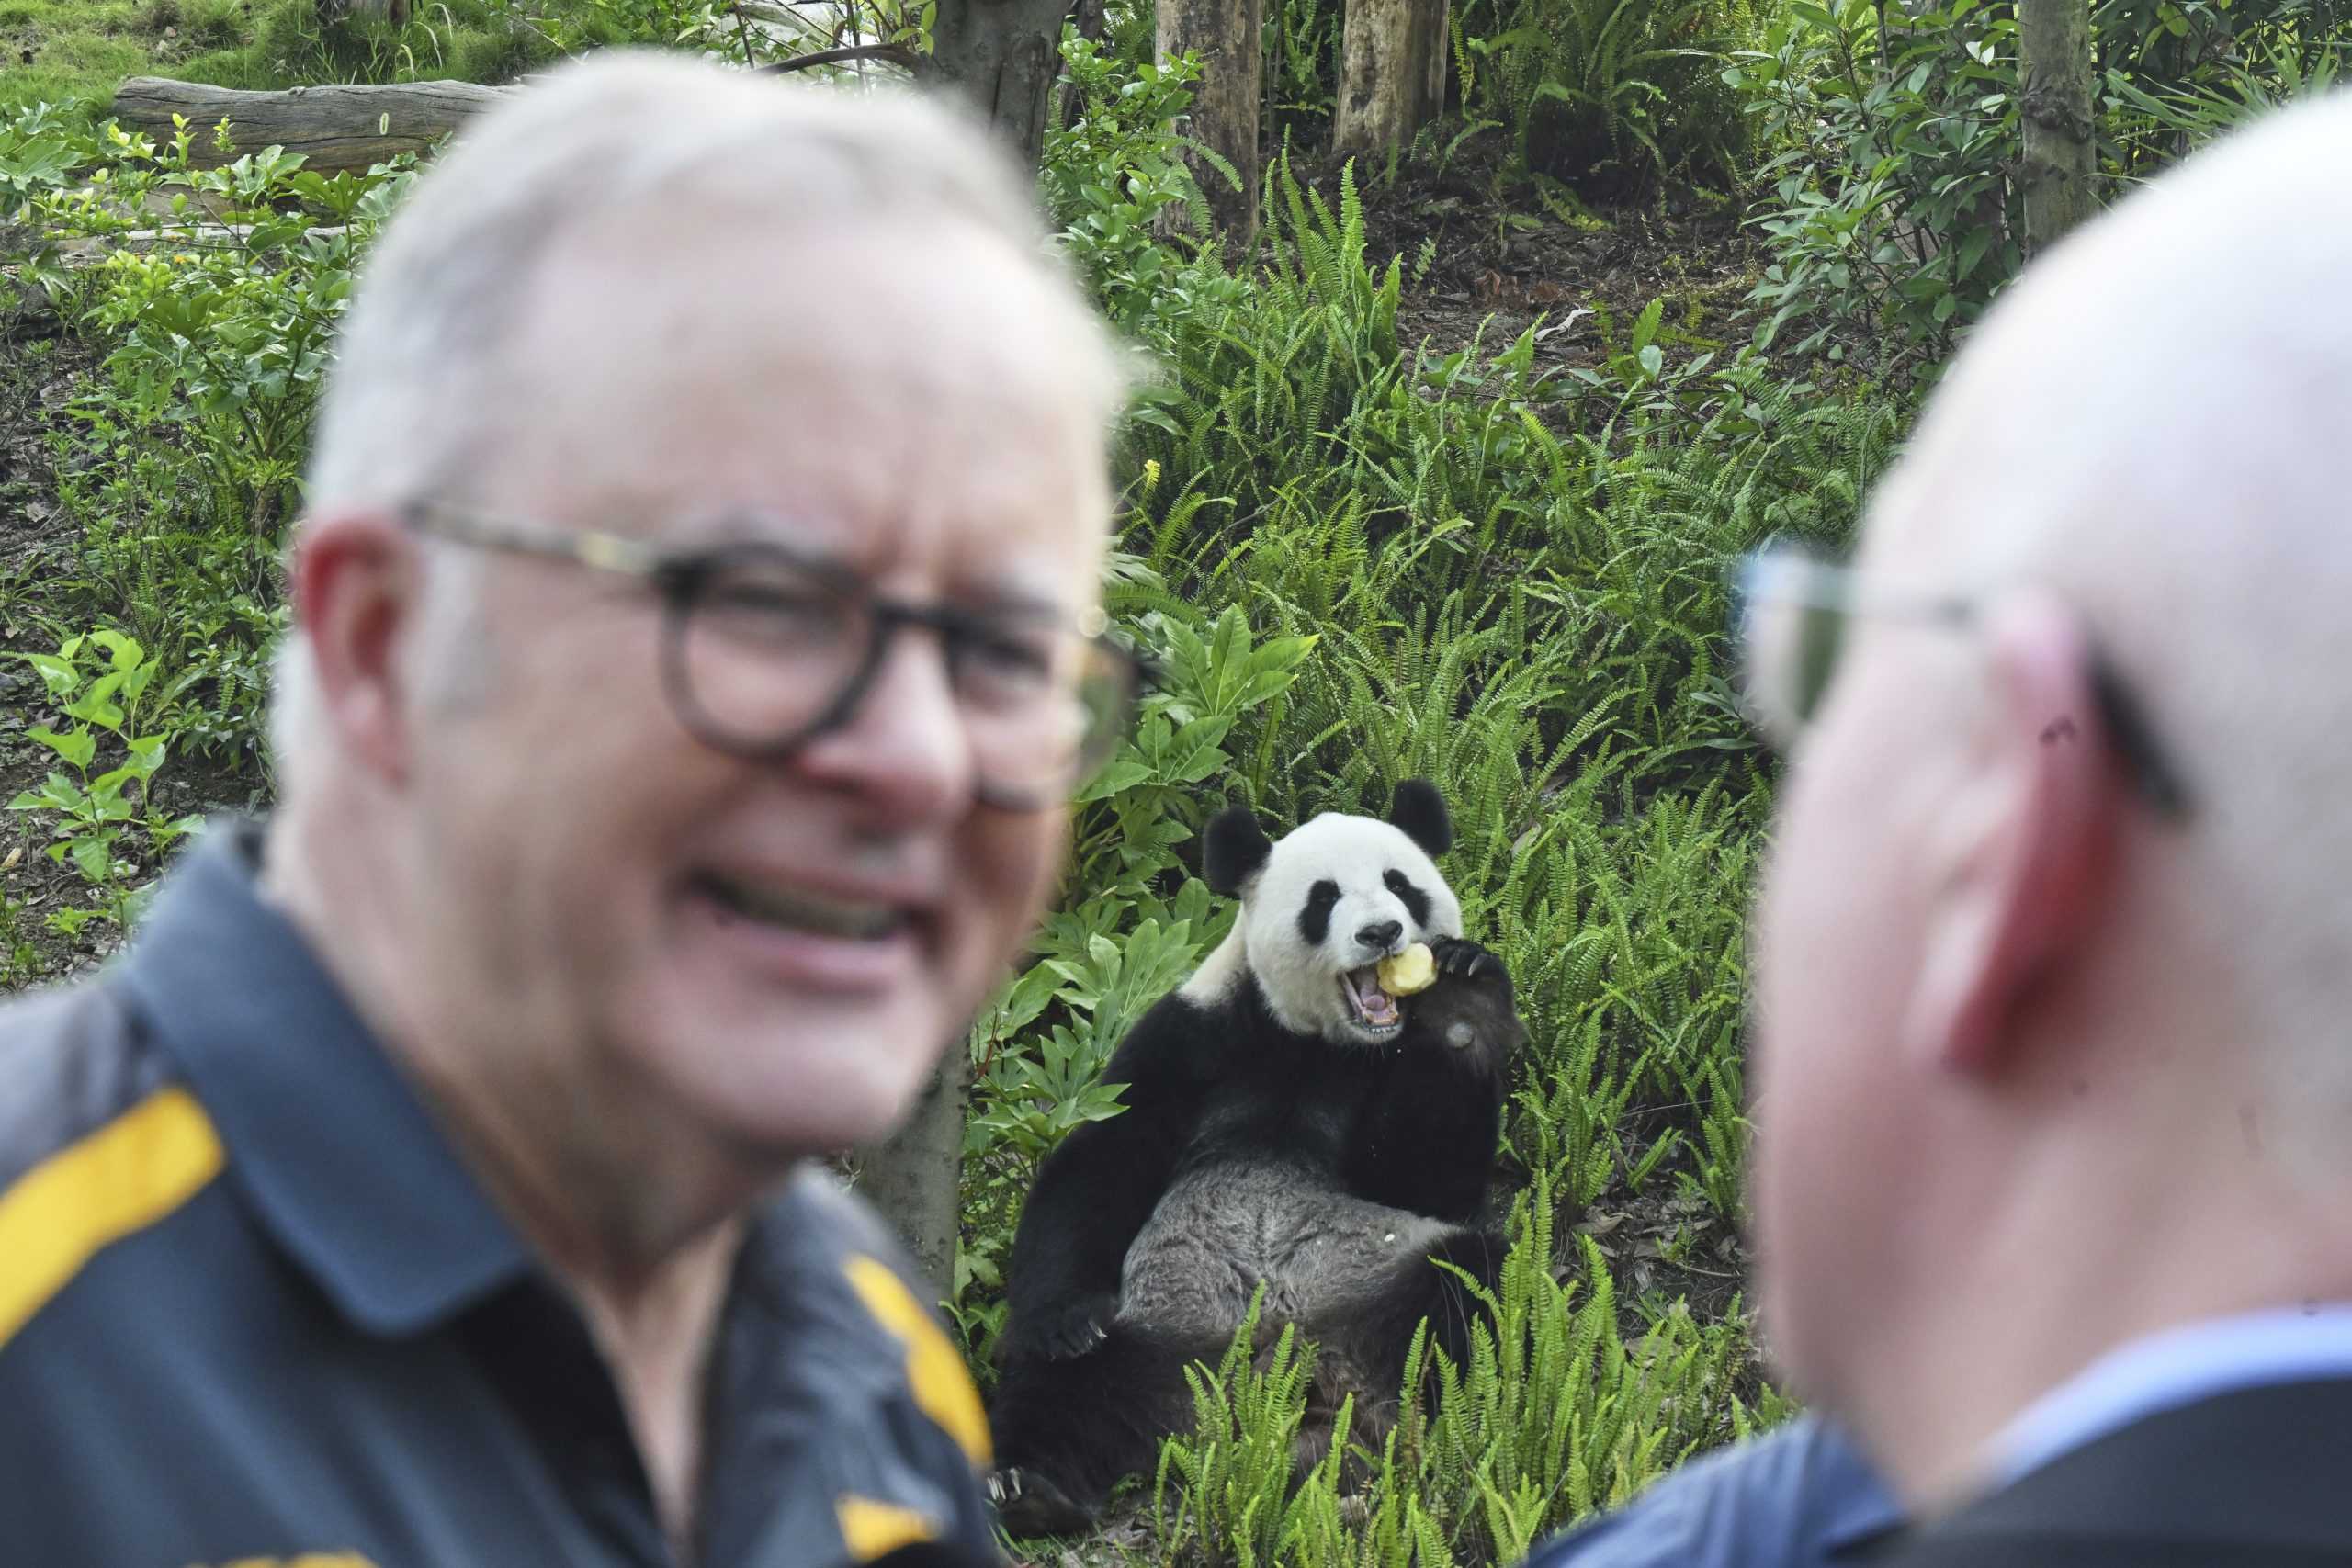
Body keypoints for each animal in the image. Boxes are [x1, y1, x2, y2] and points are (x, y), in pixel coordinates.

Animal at [987, 780, 1526, 1534]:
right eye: (1324, 898)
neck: (1319, 1042)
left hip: (1374, 1278)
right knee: (1058, 1383)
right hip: (1165, 1331)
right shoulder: (1196, 1036)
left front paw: (1464, 998)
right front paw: (1066, 1321)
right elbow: (1102, 1160)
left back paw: (1387, 1440)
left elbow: (1429, 1183)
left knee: (1465, 1286)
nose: (1381, 933)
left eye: (1400, 884)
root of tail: (1281, 1381)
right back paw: (1031, 1487)